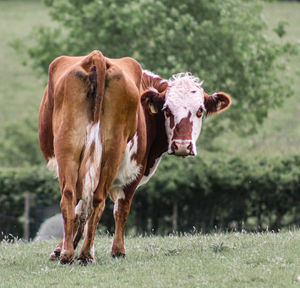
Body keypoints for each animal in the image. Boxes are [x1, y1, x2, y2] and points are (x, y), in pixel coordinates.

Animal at [38, 50, 231, 264]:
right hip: (111, 153)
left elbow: (82, 209)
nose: (182, 146)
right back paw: (85, 254)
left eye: (200, 110)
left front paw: (63, 248)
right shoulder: (134, 170)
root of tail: (97, 57)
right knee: (98, 200)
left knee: (72, 197)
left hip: (69, 148)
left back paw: (69, 254)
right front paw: (117, 250)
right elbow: (119, 208)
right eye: (166, 109)